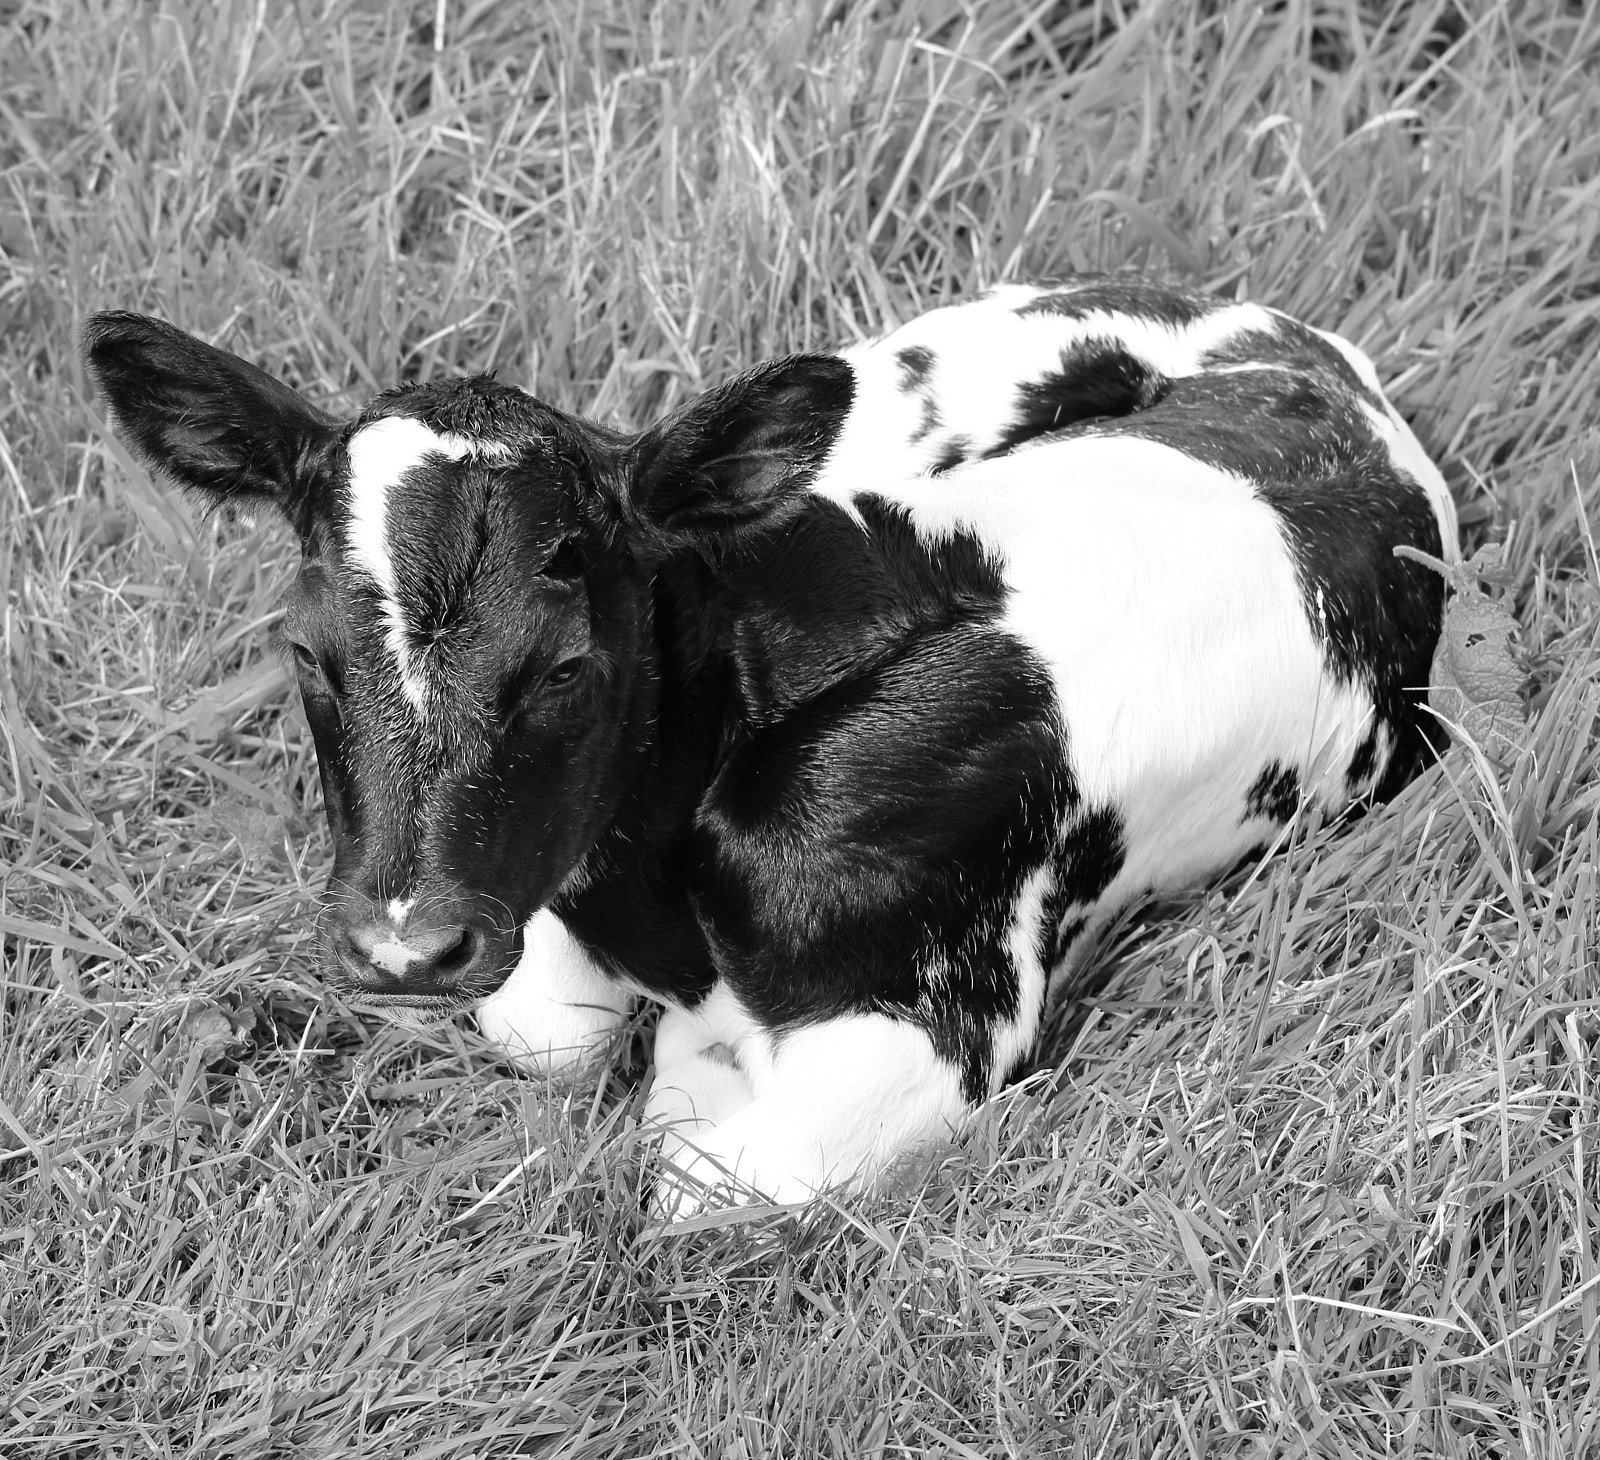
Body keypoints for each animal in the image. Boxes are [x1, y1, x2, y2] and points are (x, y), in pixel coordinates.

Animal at [83, 279, 1458, 1216]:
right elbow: (548, 1032)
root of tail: (1306, 353)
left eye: (566, 665)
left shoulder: (934, 1025)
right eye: (305, 651)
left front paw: (687, 1080)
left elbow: (698, 1175)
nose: (403, 947)